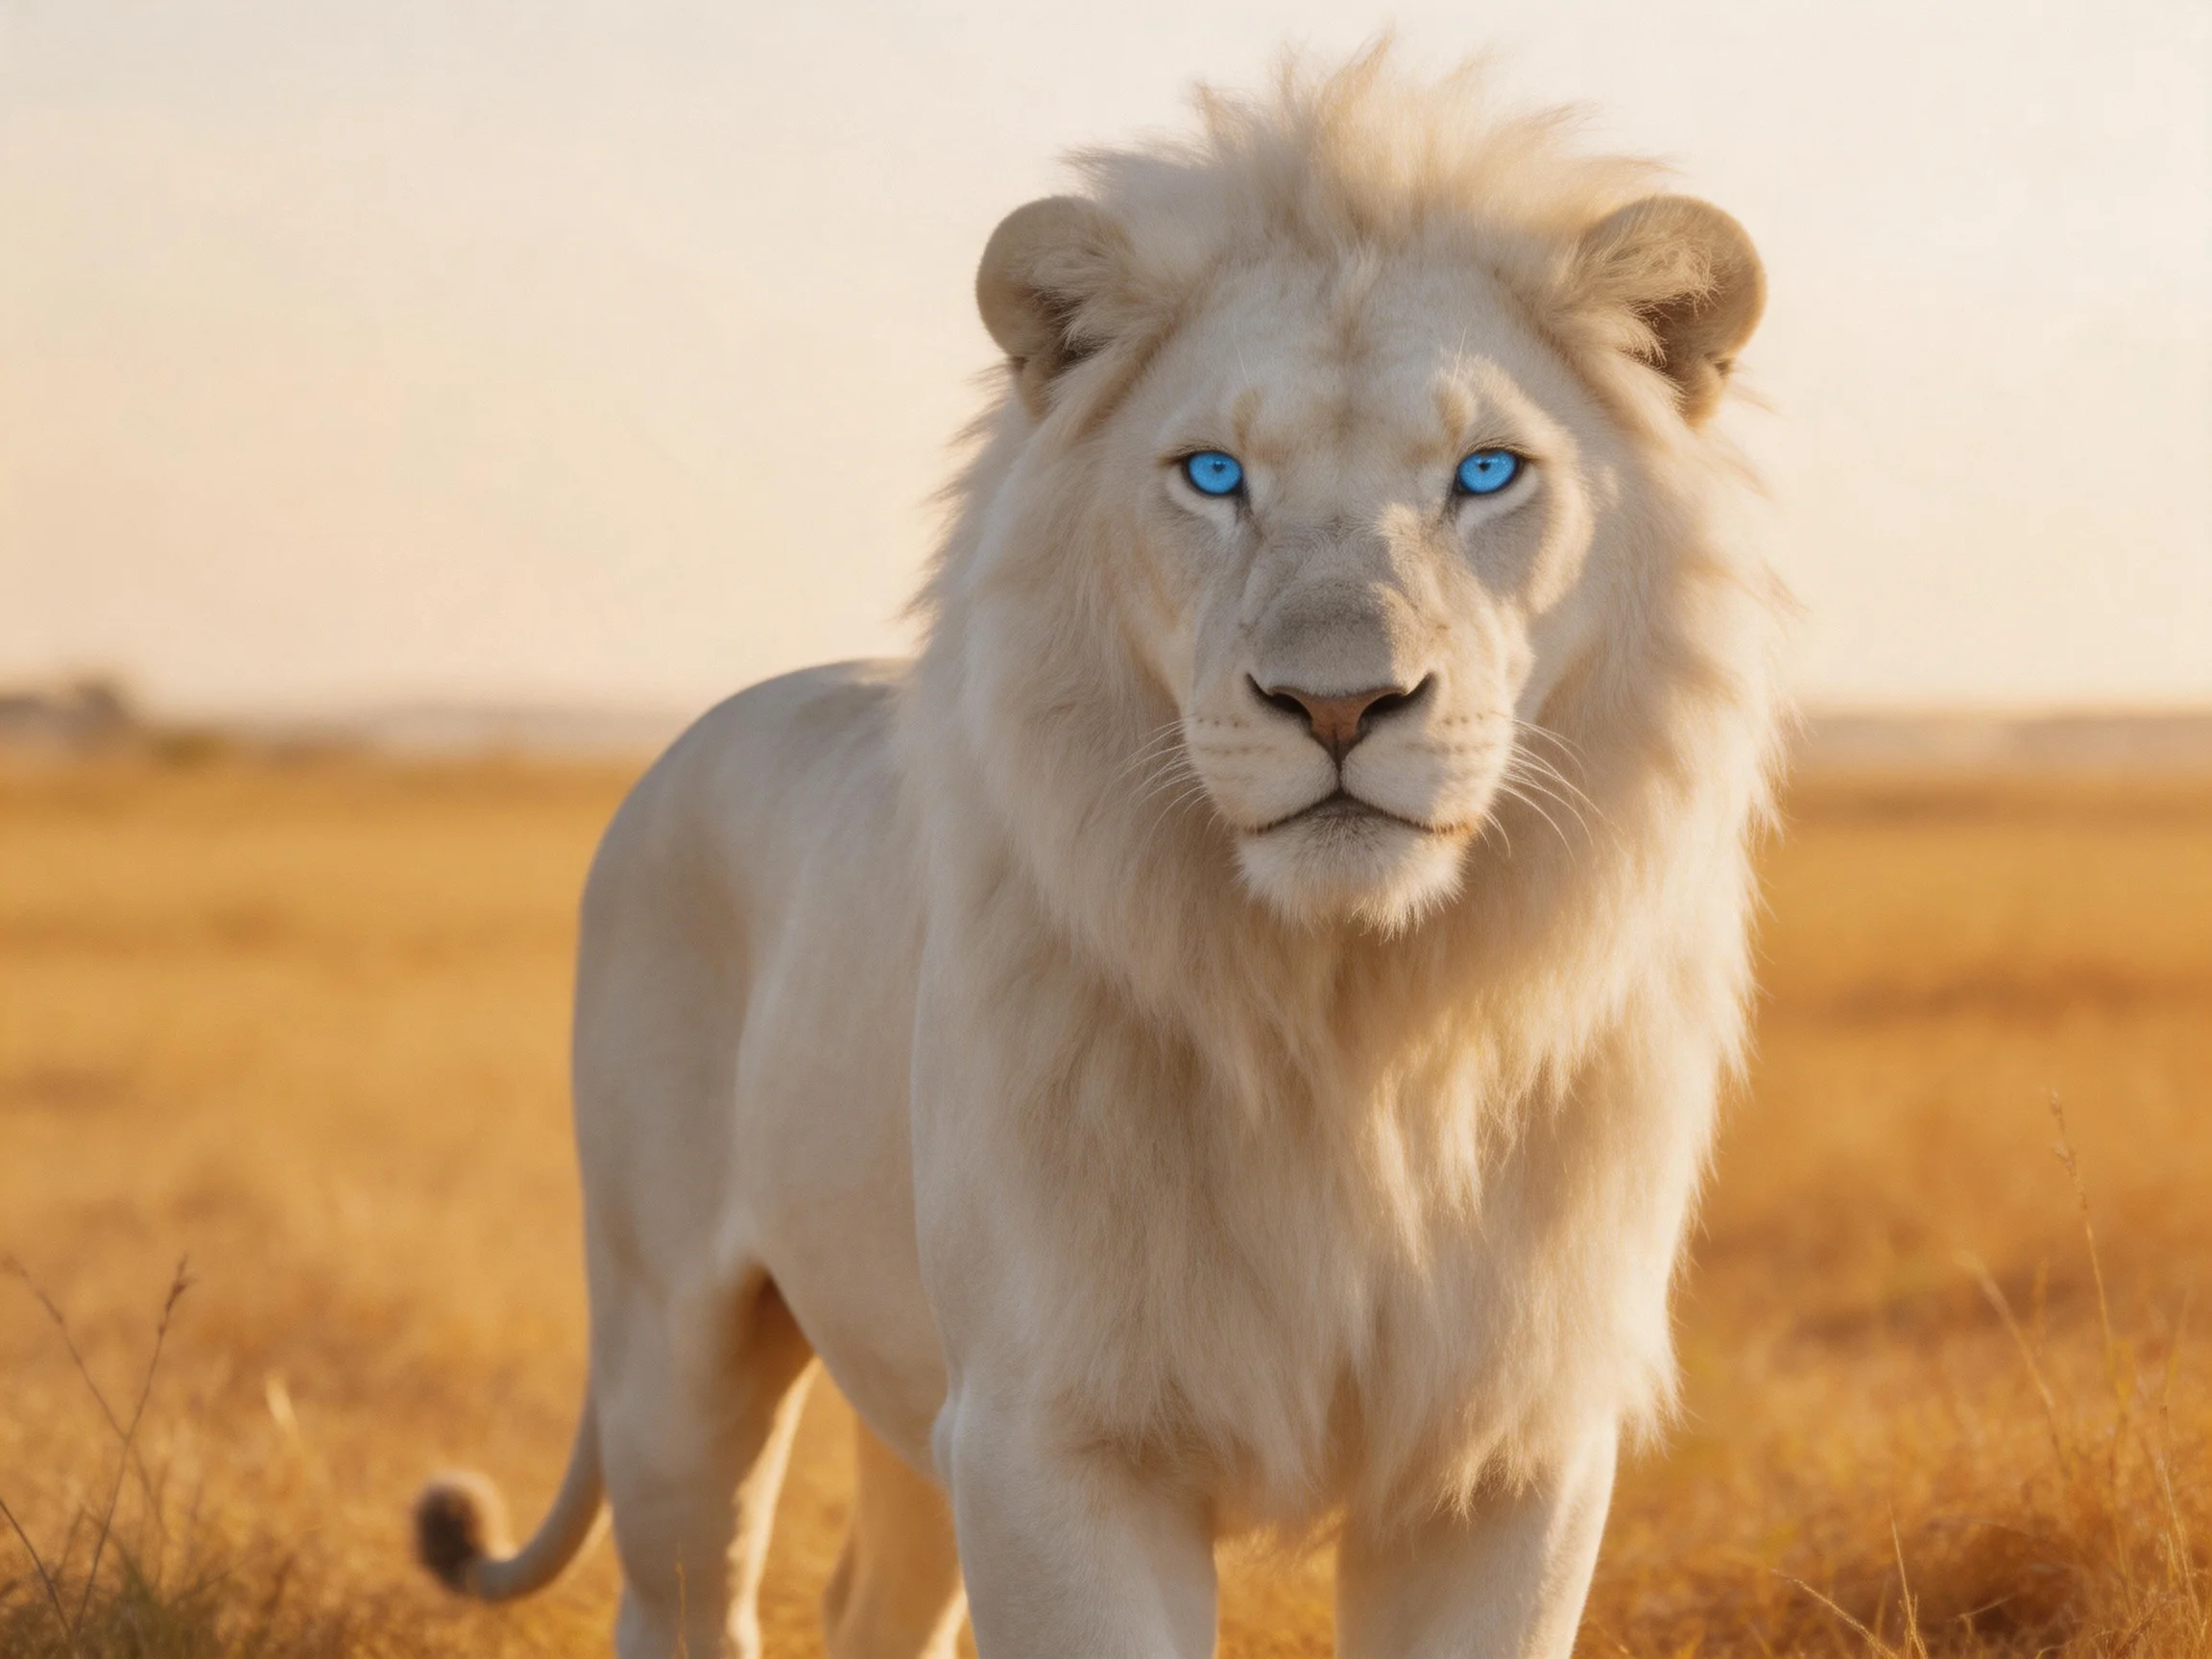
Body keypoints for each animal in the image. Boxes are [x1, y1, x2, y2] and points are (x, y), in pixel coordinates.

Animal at [411, 49, 1788, 1659]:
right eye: (1214, 475)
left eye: (1488, 471)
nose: (1338, 702)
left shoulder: (1507, 1449)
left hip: (906, 1404)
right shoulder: (1052, 1433)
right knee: (688, 1589)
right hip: (671, 1347)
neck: (1351, 1028)